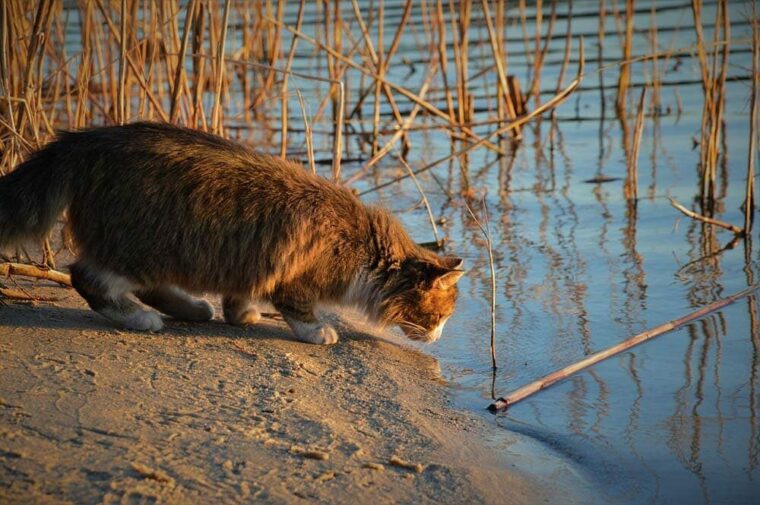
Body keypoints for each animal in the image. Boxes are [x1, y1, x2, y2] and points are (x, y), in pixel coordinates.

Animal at [0, 121, 464, 342]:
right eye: (441, 316)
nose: (440, 337)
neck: (364, 249)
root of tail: (86, 140)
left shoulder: (252, 260)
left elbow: (239, 295)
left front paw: (240, 315)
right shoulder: (296, 275)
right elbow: (299, 308)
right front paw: (317, 332)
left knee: (150, 287)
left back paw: (192, 309)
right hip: (140, 246)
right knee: (87, 277)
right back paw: (139, 318)